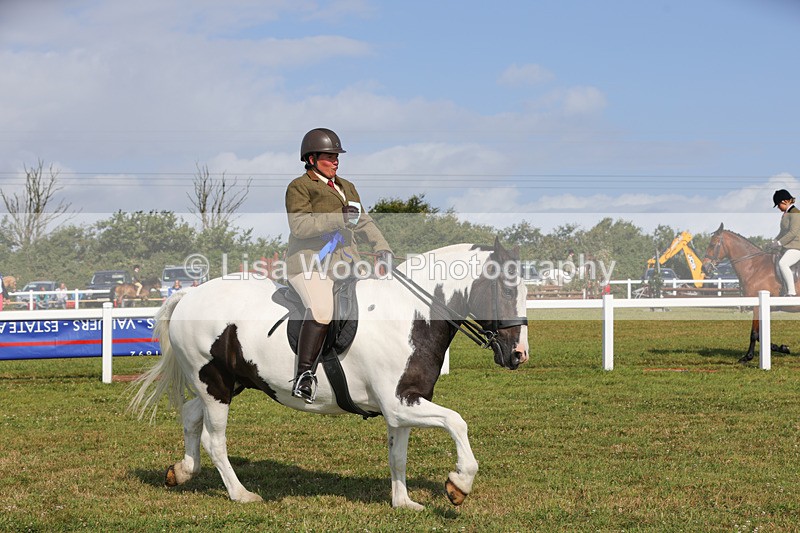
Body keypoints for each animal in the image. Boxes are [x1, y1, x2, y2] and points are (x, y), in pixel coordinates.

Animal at [129, 239, 530, 510]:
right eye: (508, 288)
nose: (518, 355)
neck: (410, 314)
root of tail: (189, 295)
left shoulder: (403, 405)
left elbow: (398, 455)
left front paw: (403, 502)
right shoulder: (400, 404)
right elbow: (457, 421)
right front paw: (459, 484)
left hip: (228, 383)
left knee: (191, 416)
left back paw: (182, 471)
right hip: (215, 384)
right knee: (215, 440)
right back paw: (241, 494)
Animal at [701, 223, 799, 362]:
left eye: (713, 245)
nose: (704, 268)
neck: (755, 266)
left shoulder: (757, 306)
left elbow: (755, 334)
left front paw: (748, 357)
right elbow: (760, 335)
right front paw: (781, 347)